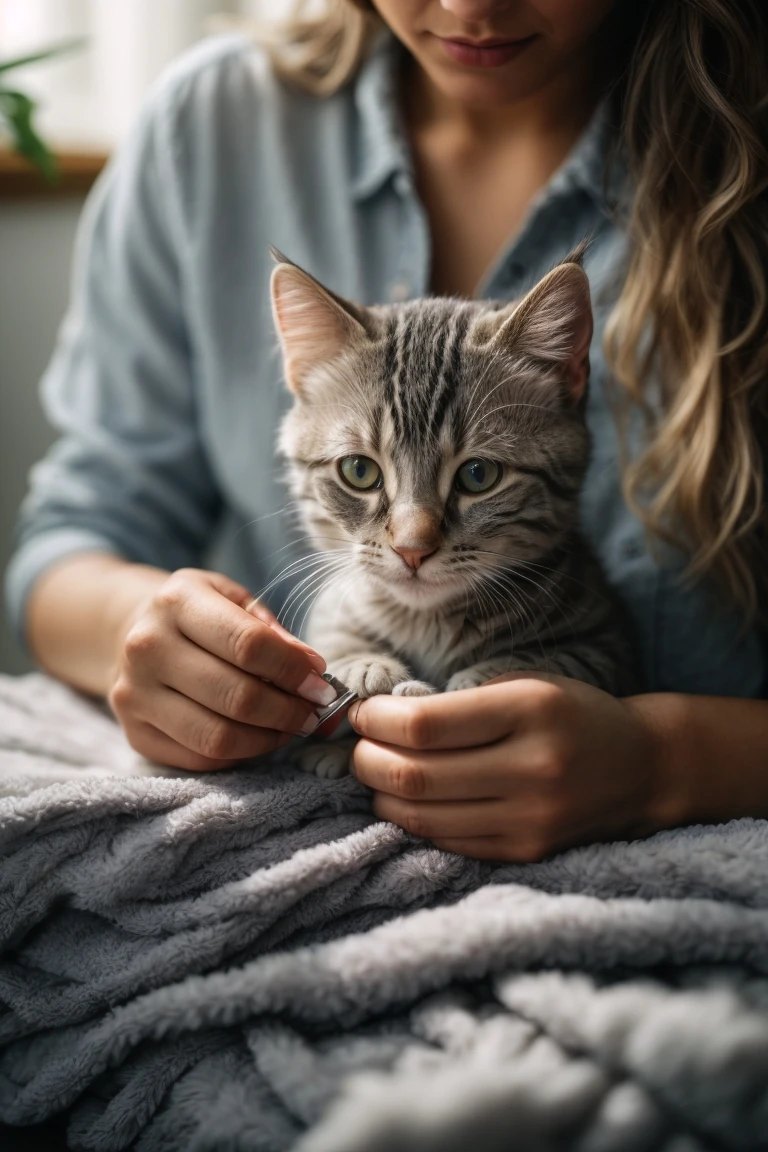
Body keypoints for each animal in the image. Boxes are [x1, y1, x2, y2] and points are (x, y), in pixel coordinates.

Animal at [272, 247, 635, 778]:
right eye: (359, 470)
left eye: (478, 475)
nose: (412, 547)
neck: (426, 622)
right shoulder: (334, 605)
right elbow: (334, 636)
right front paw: (365, 664)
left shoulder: (608, 646)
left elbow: (546, 662)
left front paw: (473, 680)